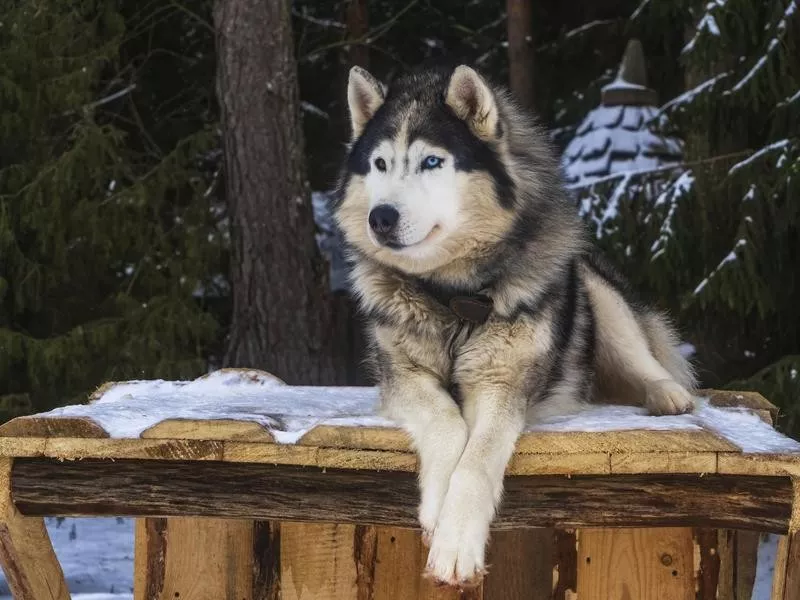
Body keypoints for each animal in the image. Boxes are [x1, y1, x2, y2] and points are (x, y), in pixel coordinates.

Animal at [332, 64, 692, 584]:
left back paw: (667, 393)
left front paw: (456, 542)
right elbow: (447, 423)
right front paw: (437, 507)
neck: (453, 299)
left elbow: (478, 459)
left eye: (432, 162)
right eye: (379, 164)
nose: (380, 218)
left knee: (642, 359)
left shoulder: (503, 385)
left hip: (597, 292)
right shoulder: (402, 378)